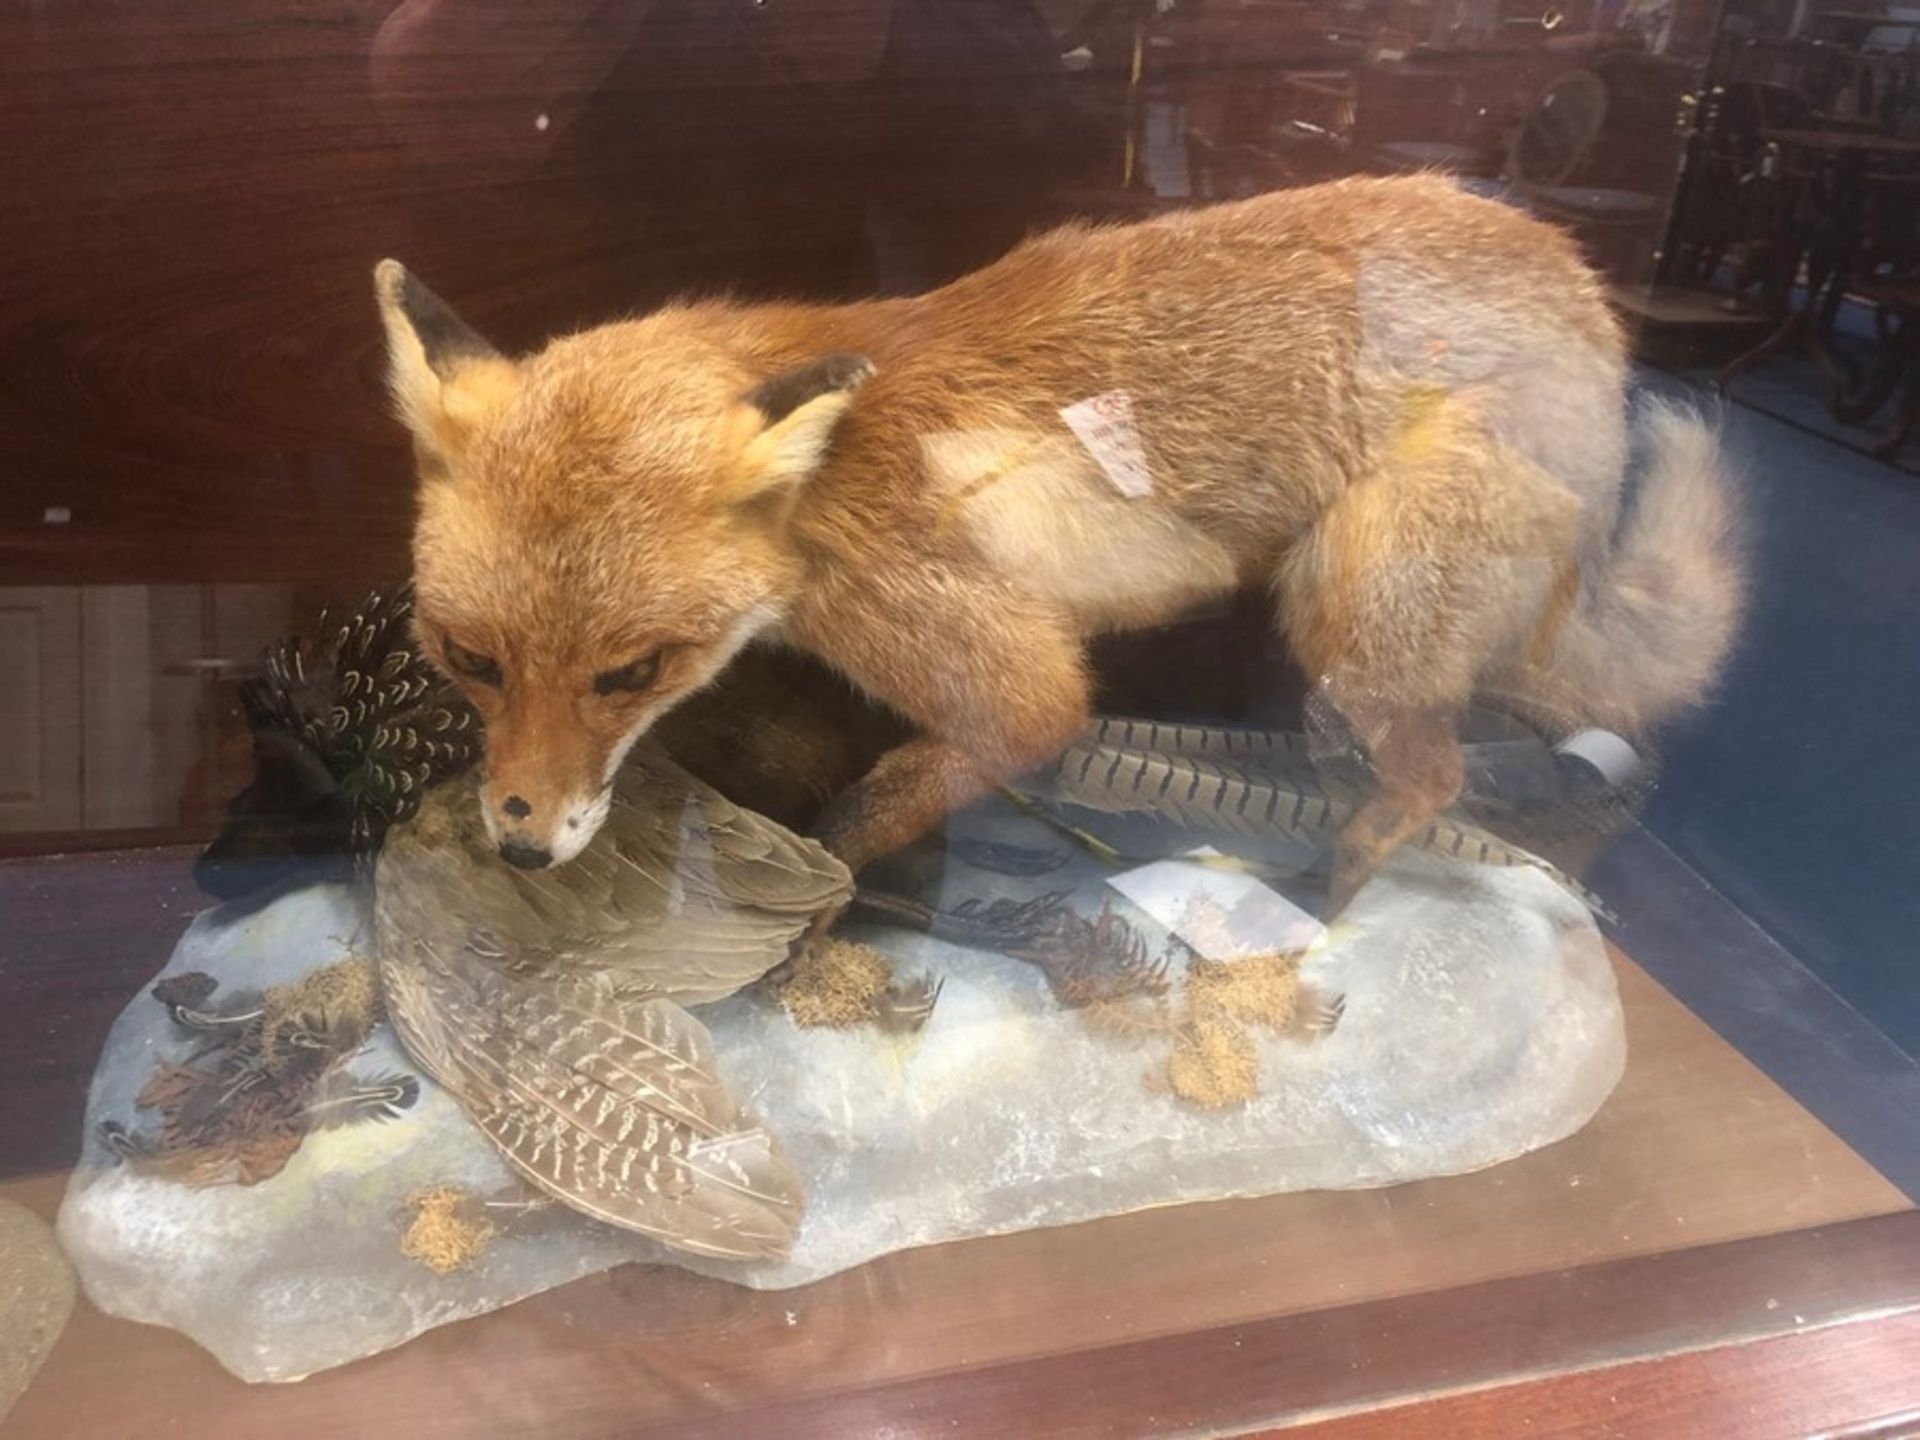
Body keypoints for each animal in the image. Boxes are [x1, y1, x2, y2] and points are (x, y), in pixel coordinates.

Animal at [374, 174, 1743, 906]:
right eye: (469, 661)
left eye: (631, 673)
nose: (522, 843)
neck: (825, 498)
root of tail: (1587, 290)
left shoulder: (984, 655)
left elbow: (949, 765)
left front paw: (824, 894)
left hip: (1352, 599)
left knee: (1437, 775)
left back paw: (1338, 887)